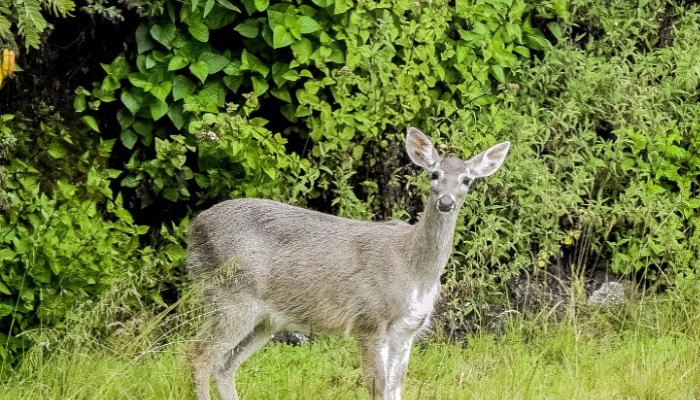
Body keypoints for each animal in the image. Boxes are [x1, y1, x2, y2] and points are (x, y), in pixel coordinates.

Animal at [187, 128, 508, 400]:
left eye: (467, 179)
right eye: (434, 173)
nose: (446, 203)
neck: (413, 268)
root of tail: (194, 229)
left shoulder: (406, 330)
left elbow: (396, 387)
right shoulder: (369, 320)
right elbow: (377, 387)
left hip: (264, 319)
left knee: (224, 365)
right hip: (232, 297)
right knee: (199, 355)